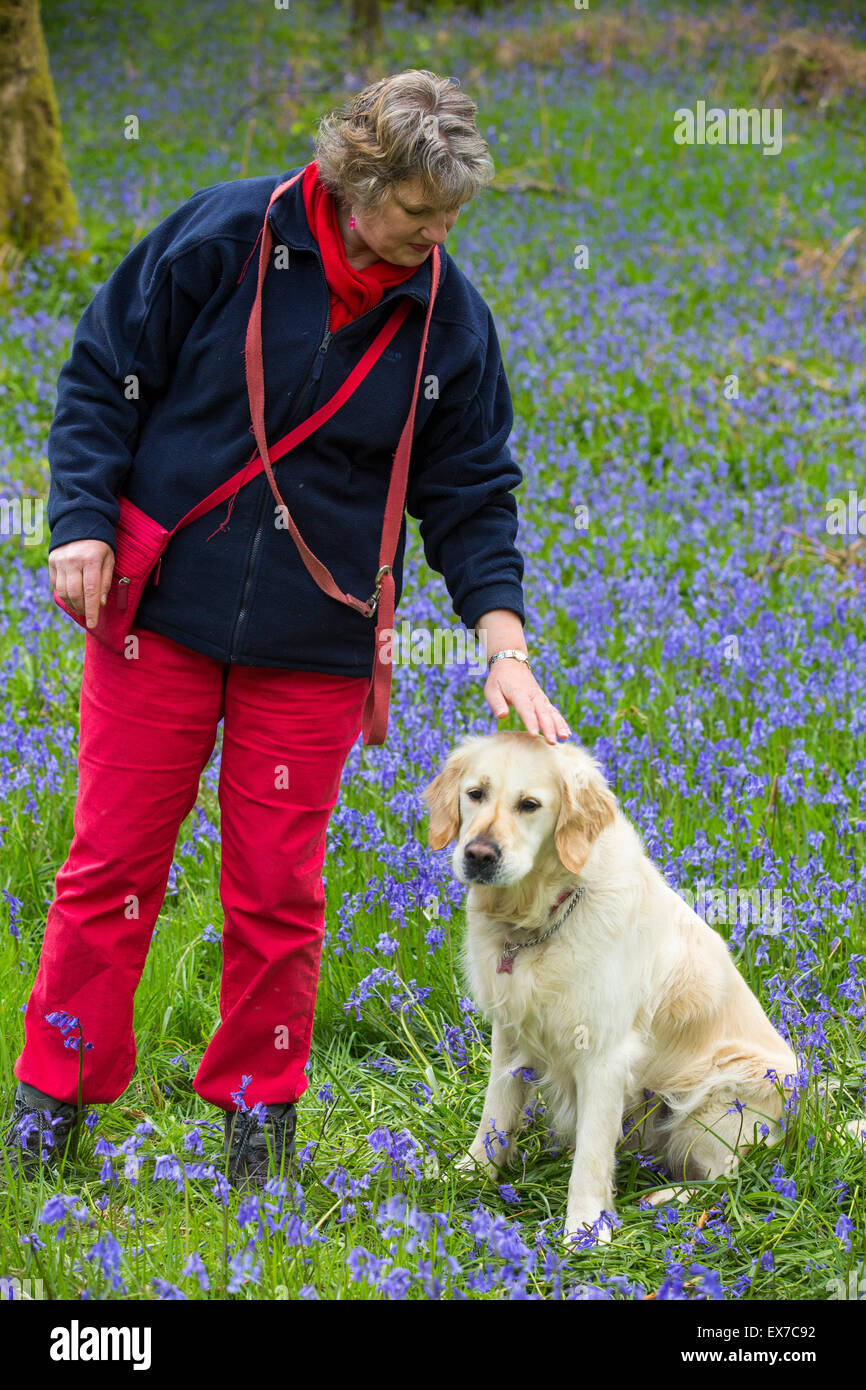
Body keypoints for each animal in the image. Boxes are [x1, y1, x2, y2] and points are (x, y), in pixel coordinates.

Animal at [425, 733, 800, 1245]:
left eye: (529, 804)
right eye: (475, 794)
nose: (479, 855)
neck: (541, 918)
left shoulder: (604, 1054)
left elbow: (591, 1153)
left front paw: (585, 1230)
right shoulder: (510, 1035)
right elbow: (493, 1116)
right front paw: (469, 1175)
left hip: (717, 1100)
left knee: (732, 1178)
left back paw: (666, 1200)